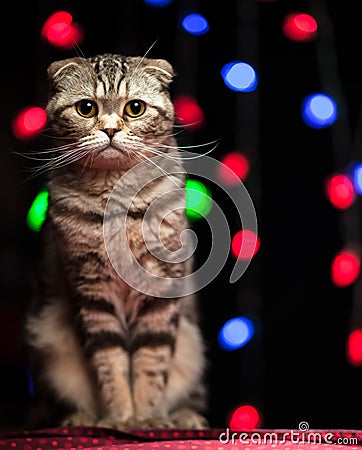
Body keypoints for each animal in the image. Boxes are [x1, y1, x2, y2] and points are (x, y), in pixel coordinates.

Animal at [24, 52, 208, 428]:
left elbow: (152, 362)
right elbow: (110, 364)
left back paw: (184, 416)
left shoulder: (161, 285)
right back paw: (79, 418)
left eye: (135, 108)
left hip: (192, 343)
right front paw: (121, 418)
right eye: (87, 108)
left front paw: (149, 418)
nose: (110, 129)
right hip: (47, 342)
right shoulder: (90, 289)